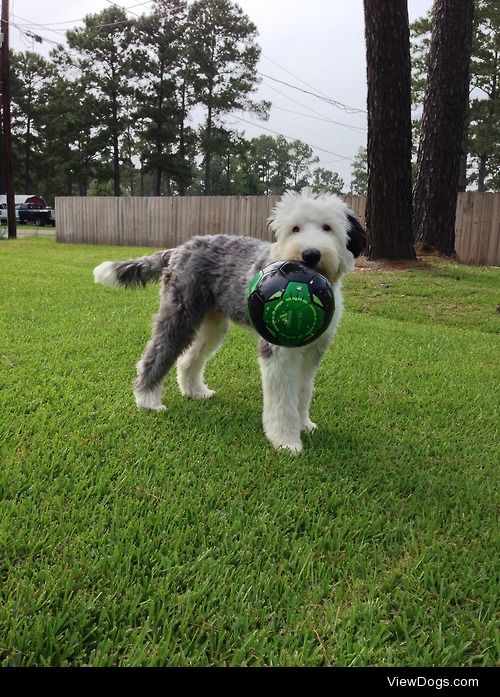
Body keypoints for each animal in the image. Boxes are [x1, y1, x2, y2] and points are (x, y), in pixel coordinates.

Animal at [94, 189, 366, 452]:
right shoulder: (278, 350)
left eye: (327, 228)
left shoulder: (312, 352)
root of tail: (180, 248)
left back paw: (195, 391)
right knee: (157, 353)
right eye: (295, 228)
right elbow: (282, 400)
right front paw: (286, 441)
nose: (310, 254)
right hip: (179, 315)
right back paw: (148, 400)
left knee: (189, 358)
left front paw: (304, 425)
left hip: (212, 324)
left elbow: (303, 390)